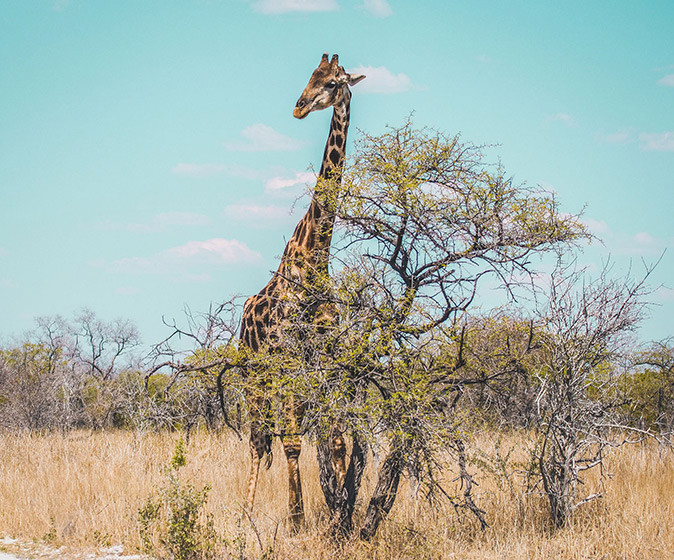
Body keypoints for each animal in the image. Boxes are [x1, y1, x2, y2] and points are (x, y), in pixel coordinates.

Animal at [239, 53, 365, 527]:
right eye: (310, 76)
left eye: (332, 82)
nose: (298, 106)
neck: (316, 256)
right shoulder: (289, 357)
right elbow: (293, 442)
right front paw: (296, 520)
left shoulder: (325, 357)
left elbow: (335, 441)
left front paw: (339, 512)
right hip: (254, 372)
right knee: (258, 440)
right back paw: (246, 515)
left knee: (268, 439)